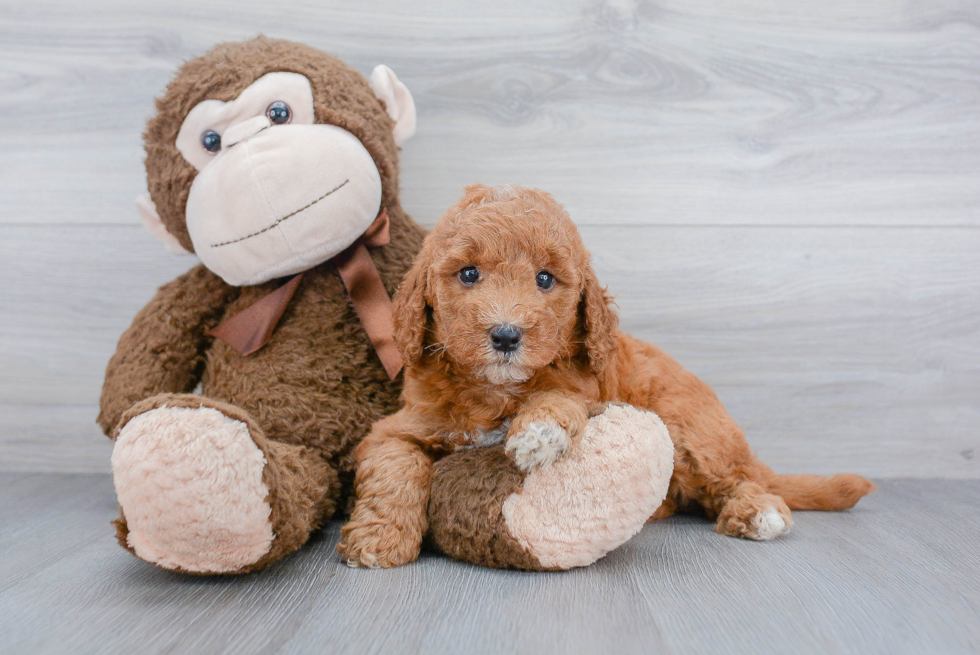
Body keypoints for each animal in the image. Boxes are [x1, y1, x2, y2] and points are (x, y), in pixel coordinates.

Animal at [338, 183, 872, 568]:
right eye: (468, 274)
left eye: (545, 279)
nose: (506, 335)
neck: (496, 389)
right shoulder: (399, 427)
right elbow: (393, 468)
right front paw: (378, 539)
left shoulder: (584, 388)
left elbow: (560, 397)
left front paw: (540, 431)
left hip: (691, 430)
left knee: (733, 479)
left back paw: (756, 511)